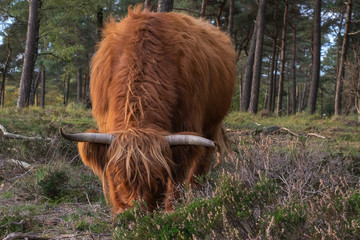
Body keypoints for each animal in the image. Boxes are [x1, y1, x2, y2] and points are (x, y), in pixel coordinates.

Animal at [61, 6, 236, 216]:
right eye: (117, 177)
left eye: (158, 179)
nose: (133, 214)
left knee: (202, 162)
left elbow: (177, 178)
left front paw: (172, 212)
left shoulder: (187, 127)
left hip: (212, 124)